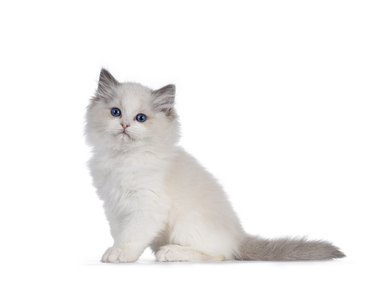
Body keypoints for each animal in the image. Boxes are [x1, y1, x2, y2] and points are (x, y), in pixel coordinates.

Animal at [86, 69, 346, 262]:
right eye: (116, 112)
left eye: (141, 118)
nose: (125, 126)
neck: (125, 158)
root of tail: (238, 237)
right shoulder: (114, 206)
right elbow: (120, 233)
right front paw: (115, 250)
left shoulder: (146, 206)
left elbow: (132, 236)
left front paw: (121, 254)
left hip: (187, 223)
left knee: (219, 255)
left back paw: (171, 252)